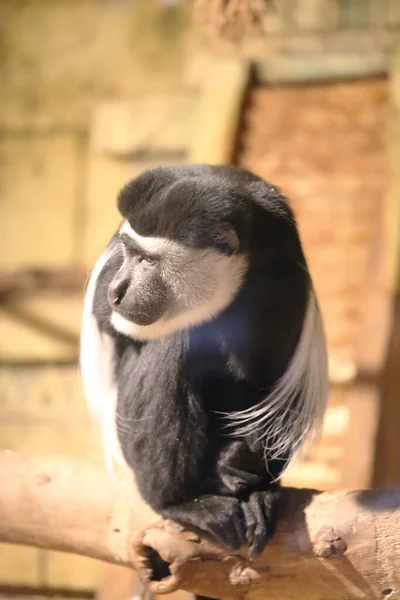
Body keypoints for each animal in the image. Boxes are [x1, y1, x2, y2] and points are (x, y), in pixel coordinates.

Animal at [80, 163, 328, 564]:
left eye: (149, 260)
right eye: (129, 251)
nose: (118, 289)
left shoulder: (284, 276)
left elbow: (275, 370)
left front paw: (240, 467)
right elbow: (113, 322)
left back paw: (249, 486)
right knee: (171, 345)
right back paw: (184, 500)